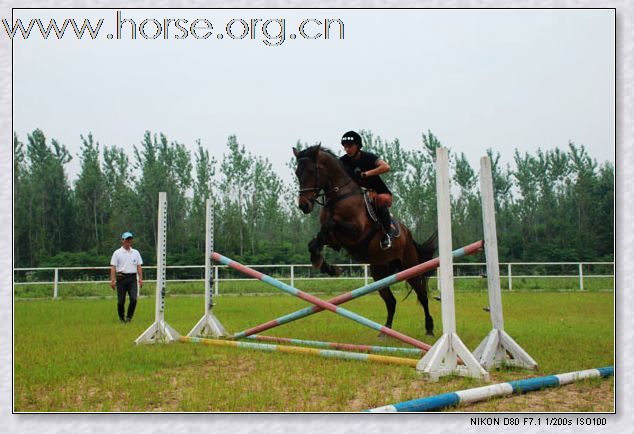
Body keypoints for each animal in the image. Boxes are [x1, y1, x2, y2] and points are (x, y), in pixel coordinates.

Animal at [292, 144, 436, 338]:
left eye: (311, 171)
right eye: (297, 173)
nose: (304, 206)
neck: (339, 195)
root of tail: (409, 235)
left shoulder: (356, 232)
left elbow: (329, 225)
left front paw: (324, 264)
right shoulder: (334, 239)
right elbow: (315, 242)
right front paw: (326, 266)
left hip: (409, 267)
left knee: (422, 296)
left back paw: (429, 329)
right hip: (379, 272)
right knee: (391, 301)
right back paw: (385, 332)